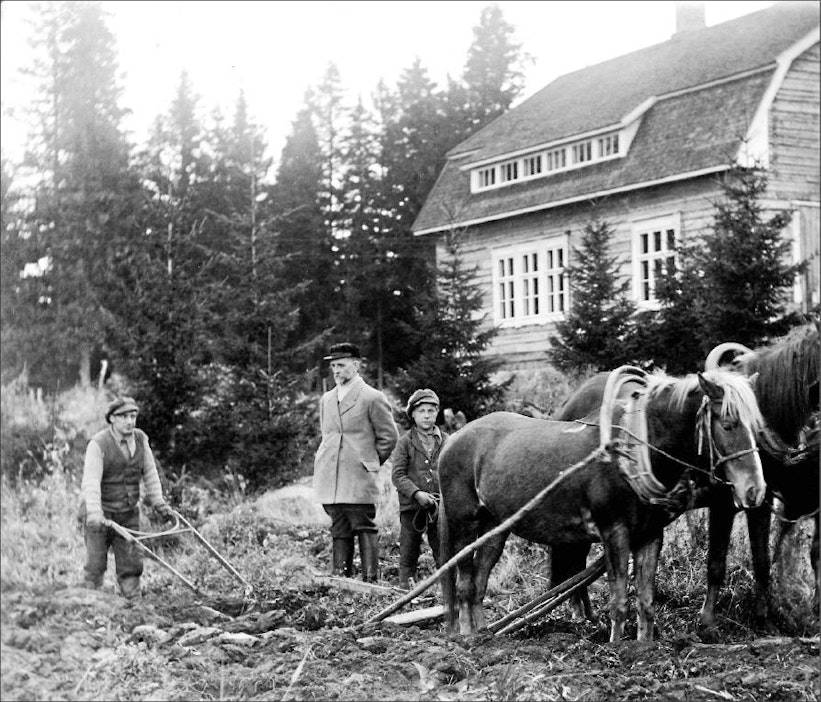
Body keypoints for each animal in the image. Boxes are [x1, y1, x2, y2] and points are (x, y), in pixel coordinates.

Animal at [438, 372, 764, 648]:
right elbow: (619, 601)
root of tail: (452, 439)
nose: (755, 489)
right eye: (728, 424)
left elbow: (646, 600)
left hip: (495, 528)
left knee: (479, 583)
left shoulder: (649, 534)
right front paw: (616, 648)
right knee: (465, 585)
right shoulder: (614, 532)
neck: (632, 452)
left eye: (755, 426)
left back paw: (485, 637)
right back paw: (468, 640)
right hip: (464, 524)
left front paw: (644, 647)